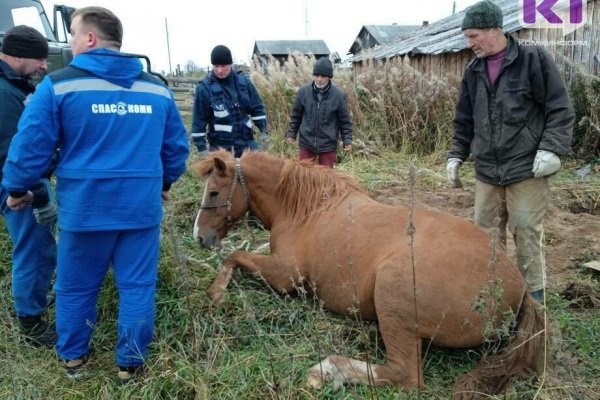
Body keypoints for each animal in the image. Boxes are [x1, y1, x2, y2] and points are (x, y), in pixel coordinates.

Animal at [191, 150, 544, 400]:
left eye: (213, 193)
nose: (199, 237)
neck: (306, 209)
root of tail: (521, 289)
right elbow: (243, 251)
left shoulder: (285, 275)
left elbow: (235, 256)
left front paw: (216, 291)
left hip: (391, 285)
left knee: (404, 374)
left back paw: (328, 370)